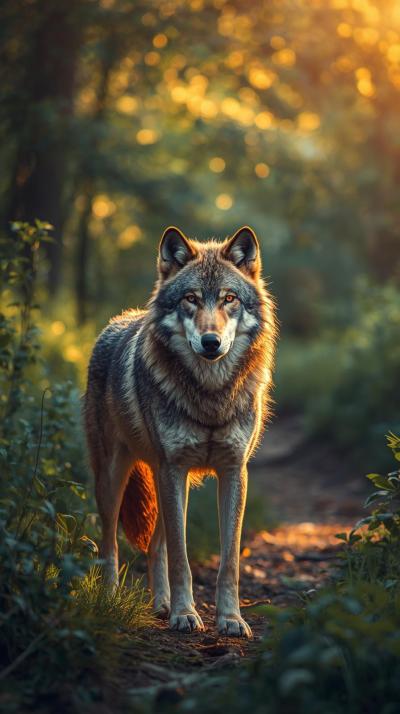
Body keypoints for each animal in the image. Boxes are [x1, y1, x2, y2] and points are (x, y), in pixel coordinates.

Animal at [84, 226, 276, 638]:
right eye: (191, 299)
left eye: (229, 299)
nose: (211, 342)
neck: (210, 395)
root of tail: (118, 321)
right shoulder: (173, 468)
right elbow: (181, 557)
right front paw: (186, 614)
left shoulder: (233, 472)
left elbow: (229, 561)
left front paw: (230, 619)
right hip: (115, 479)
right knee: (109, 544)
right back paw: (110, 599)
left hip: (168, 480)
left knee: (155, 545)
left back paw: (161, 604)